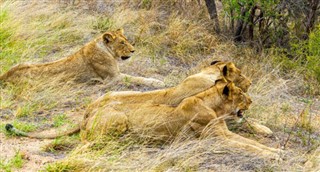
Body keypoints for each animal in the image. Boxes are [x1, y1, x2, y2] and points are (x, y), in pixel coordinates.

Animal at [0, 28, 165, 87]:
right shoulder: (112, 78)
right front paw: (158, 82)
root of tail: (5, 75)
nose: (133, 50)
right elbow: (136, 78)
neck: (107, 51)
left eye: (127, 40)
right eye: (122, 42)